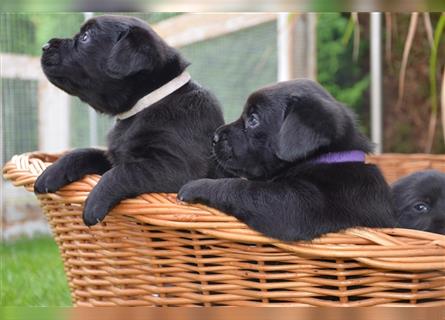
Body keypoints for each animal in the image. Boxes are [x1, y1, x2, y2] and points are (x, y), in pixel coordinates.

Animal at [177, 79, 392, 240]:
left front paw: (197, 186)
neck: (325, 159)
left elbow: (241, 186)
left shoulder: (295, 207)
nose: (213, 138)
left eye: (253, 119)